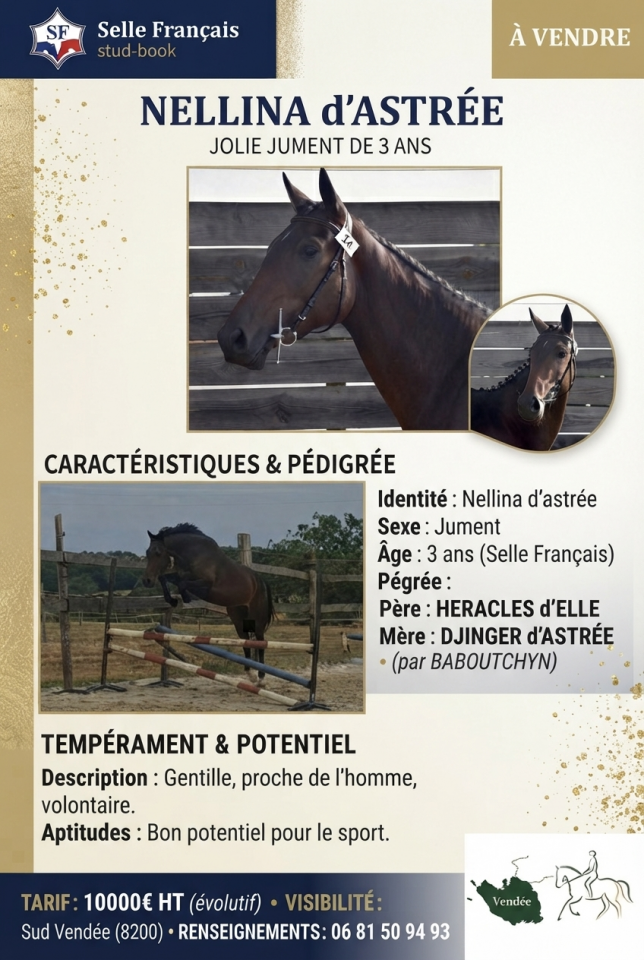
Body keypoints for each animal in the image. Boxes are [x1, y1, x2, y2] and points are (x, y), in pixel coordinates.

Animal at [143, 523, 274, 681]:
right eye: (147, 552)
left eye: (158, 553)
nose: (147, 580)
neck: (193, 554)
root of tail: (260, 581)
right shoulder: (180, 575)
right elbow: (166, 578)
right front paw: (173, 600)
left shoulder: (206, 584)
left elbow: (182, 584)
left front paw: (185, 599)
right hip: (238, 617)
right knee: (246, 641)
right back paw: (250, 673)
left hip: (257, 619)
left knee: (260, 641)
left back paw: (261, 676)